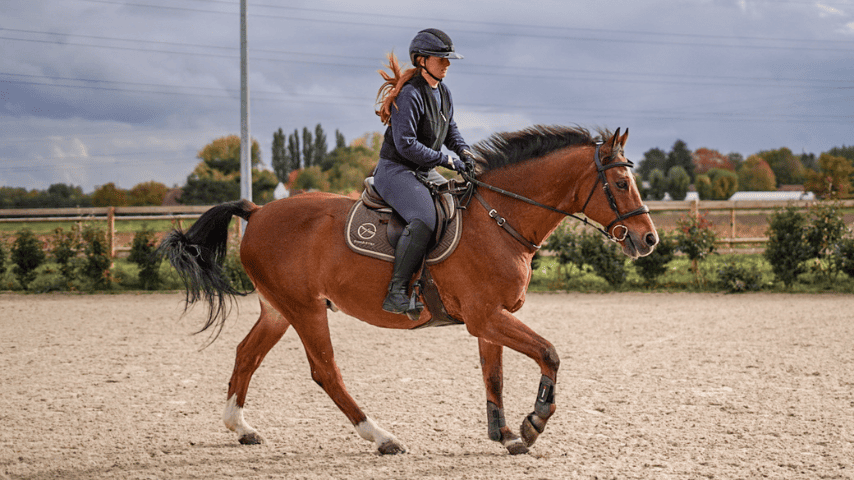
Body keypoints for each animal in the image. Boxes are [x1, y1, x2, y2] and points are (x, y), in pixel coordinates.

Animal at [159, 125, 658, 455]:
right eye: (620, 183)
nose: (649, 239)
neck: (499, 219)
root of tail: (258, 211)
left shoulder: (489, 318)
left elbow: (493, 375)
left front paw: (504, 435)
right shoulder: (485, 315)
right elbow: (549, 353)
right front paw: (533, 424)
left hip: (278, 309)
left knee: (247, 354)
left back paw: (240, 427)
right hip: (306, 310)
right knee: (326, 371)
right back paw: (381, 437)